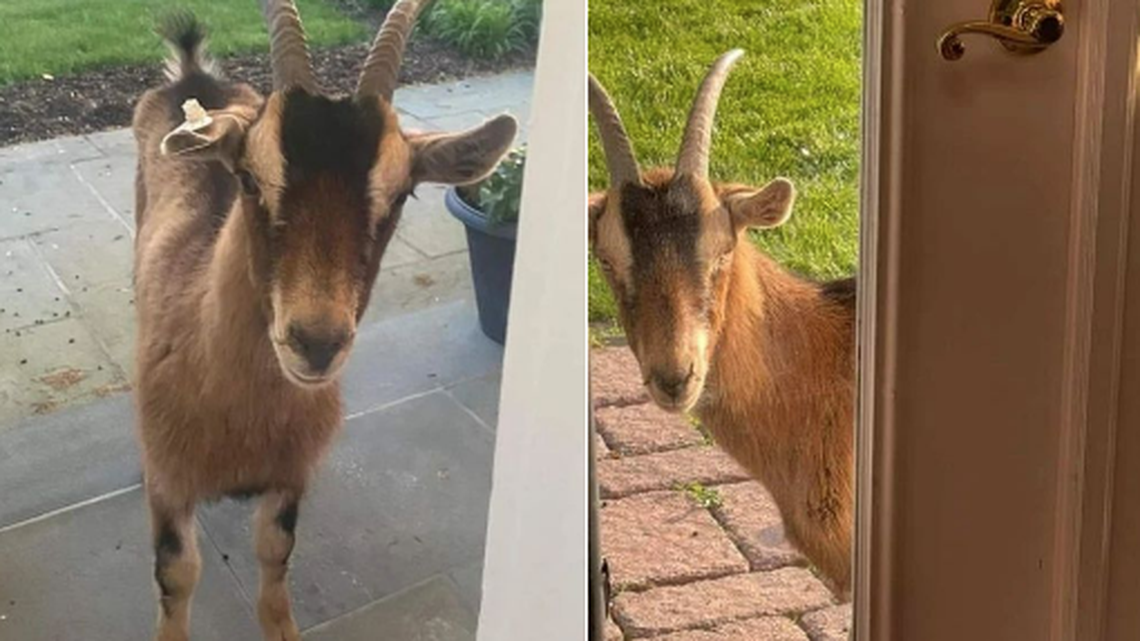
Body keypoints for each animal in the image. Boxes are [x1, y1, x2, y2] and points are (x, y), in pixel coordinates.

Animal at [131, 2, 516, 639]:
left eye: (402, 194)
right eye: (248, 177)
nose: (315, 343)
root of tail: (193, 77)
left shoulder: (290, 477)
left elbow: (276, 554)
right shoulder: (167, 480)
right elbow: (176, 572)